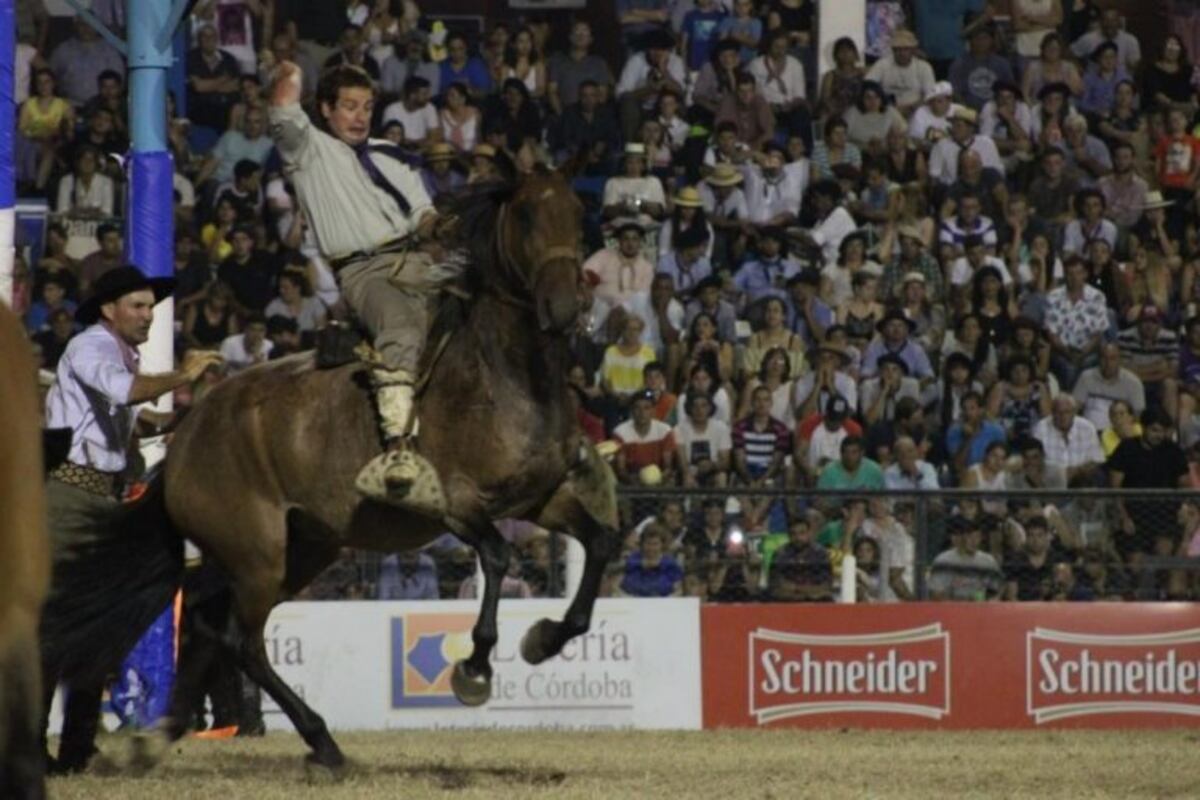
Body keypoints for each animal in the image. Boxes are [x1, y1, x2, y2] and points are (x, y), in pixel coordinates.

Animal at [140, 165, 621, 768]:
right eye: (528, 215)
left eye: (578, 214)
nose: (561, 308)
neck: (503, 377)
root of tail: (187, 430)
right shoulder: (457, 505)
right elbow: (497, 555)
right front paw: (474, 669)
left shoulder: (540, 499)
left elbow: (599, 544)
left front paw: (545, 638)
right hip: (257, 556)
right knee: (243, 642)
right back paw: (320, 740)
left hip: (304, 549)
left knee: (211, 625)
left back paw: (165, 736)